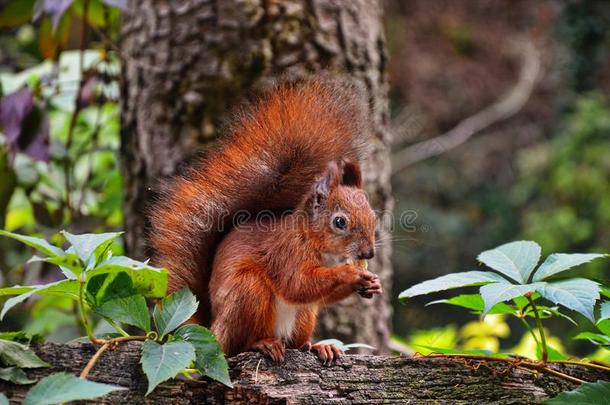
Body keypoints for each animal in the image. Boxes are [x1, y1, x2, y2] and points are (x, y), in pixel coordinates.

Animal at [150, 77, 380, 362]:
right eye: (340, 222)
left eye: (374, 217)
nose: (369, 254)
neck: (313, 240)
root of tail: (213, 329)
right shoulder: (284, 252)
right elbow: (297, 285)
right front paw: (350, 273)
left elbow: (317, 295)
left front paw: (372, 285)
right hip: (247, 291)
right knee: (236, 346)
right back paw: (263, 343)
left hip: (304, 315)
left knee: (298, 337)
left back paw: (317, 346)